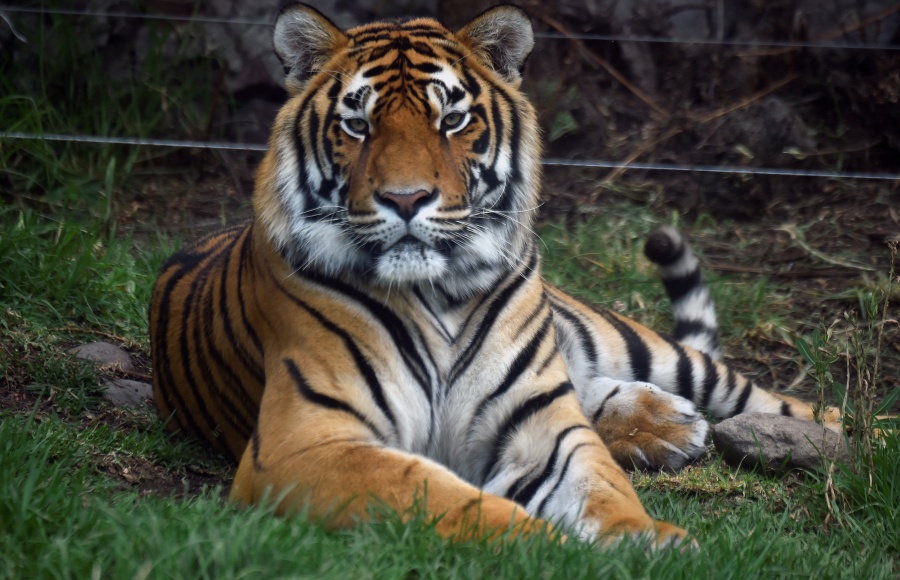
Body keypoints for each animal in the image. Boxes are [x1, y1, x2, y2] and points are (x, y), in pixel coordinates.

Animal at [149, 3, 844, 548]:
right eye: (358, 124)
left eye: (452, 120)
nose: (405, 199)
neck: (436, 293)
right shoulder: (305, 444)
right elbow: (442, 497)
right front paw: (559, 549)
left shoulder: (544, 426)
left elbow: (604, 488)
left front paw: (647, 542)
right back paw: (669, 427)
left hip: (637, 344)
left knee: (795, 403)